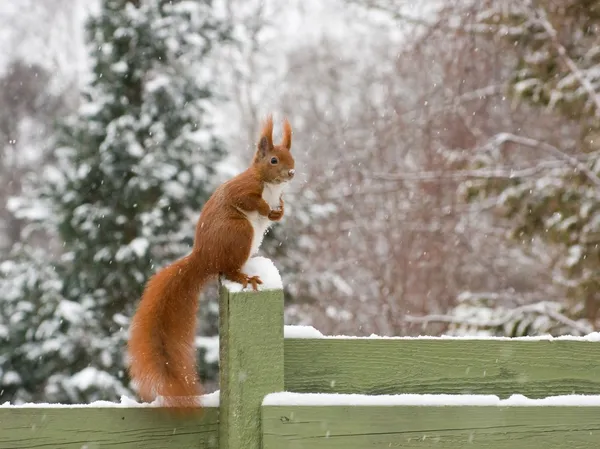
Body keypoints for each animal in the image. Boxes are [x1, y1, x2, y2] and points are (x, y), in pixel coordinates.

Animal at [127, 114, 296, 410]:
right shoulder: (244, 188)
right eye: (274, 160)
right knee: (227, 268)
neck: (271, 187)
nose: (292, 173)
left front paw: (278, 211)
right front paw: (265, 208)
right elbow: (247, 200)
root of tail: (203, 257)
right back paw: (245, 277)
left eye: (292, 156)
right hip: (239, 232)